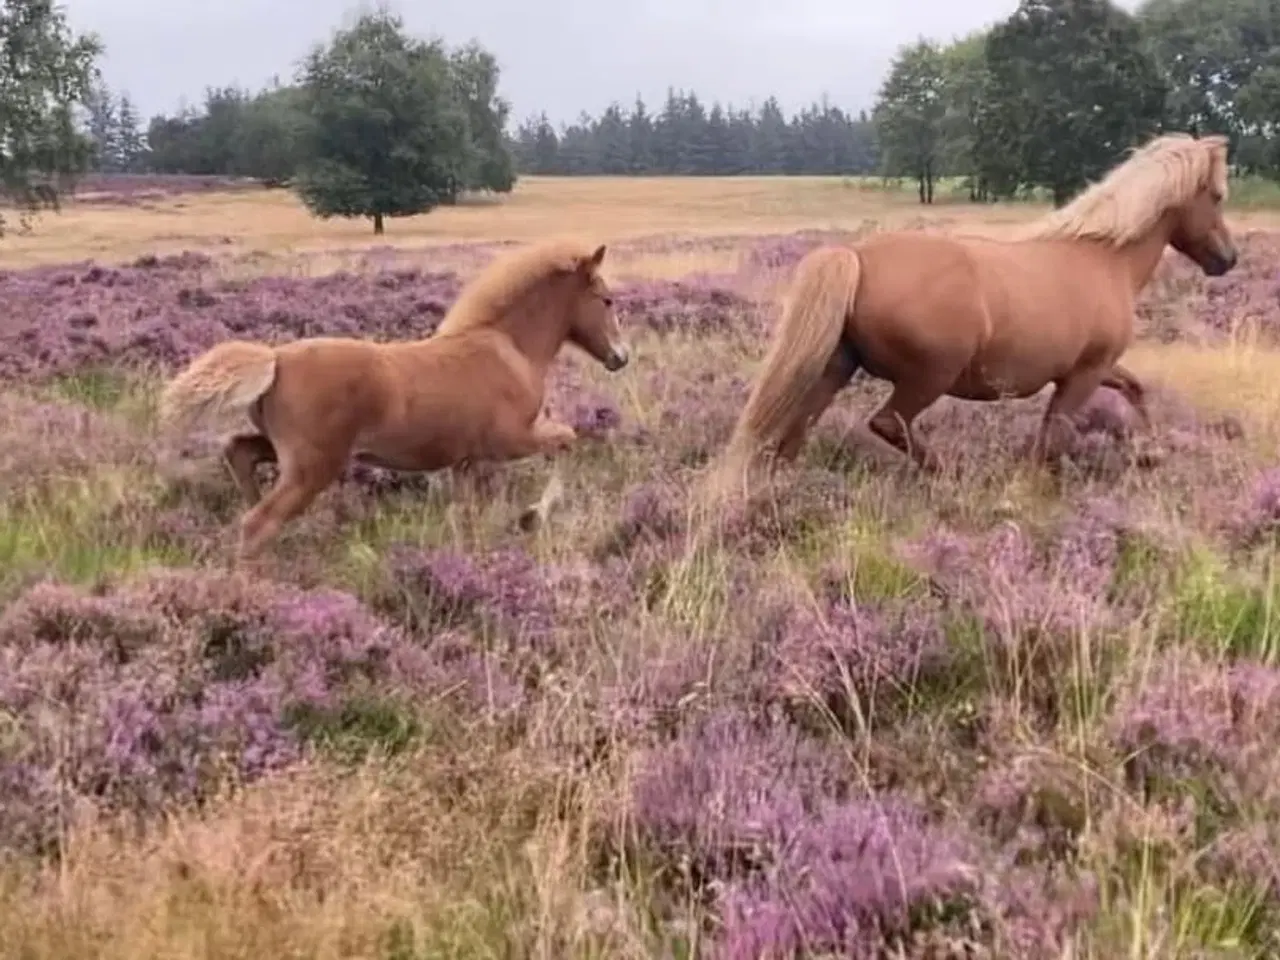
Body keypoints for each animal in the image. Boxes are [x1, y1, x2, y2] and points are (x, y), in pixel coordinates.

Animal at [160, 239, 629, 563]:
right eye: (607, 299)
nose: (621, 357)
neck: (509, 348)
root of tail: (276, 360)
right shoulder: (511, 440)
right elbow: (568, 439)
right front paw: (532, 516)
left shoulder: (465, 462)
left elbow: (465, 516)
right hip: (313, 467)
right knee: (258, 523)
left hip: (286, 452)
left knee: (239, 454)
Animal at [716, 133, 1233, 496]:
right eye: (1219, 195)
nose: (1228, 259)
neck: (1104, 258)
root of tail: (856, 256)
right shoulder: (1083, 375)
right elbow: (1053, 438)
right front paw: (1024, 492)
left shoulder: (1091, 368)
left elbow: (1134, 388)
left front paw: (1152, 453)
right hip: (930, 375)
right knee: (888, 423)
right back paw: (952, 474)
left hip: (838, 367)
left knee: (796, 431)